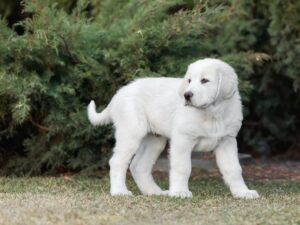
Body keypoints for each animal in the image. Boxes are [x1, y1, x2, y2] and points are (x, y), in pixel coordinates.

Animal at [88, 57, 258, 199]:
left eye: (205, 80)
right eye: (189, 80)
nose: (187, 95)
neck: (212, 114)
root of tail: (118, 94)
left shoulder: (227, 141)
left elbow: (234, 169)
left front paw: (243, 192)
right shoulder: (182, 140)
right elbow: (182, 167)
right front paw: (180, 192)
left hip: (154, 140)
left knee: (138, 166)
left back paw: (154, 192)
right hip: (131, 134)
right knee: (117, 162)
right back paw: (119, 191)